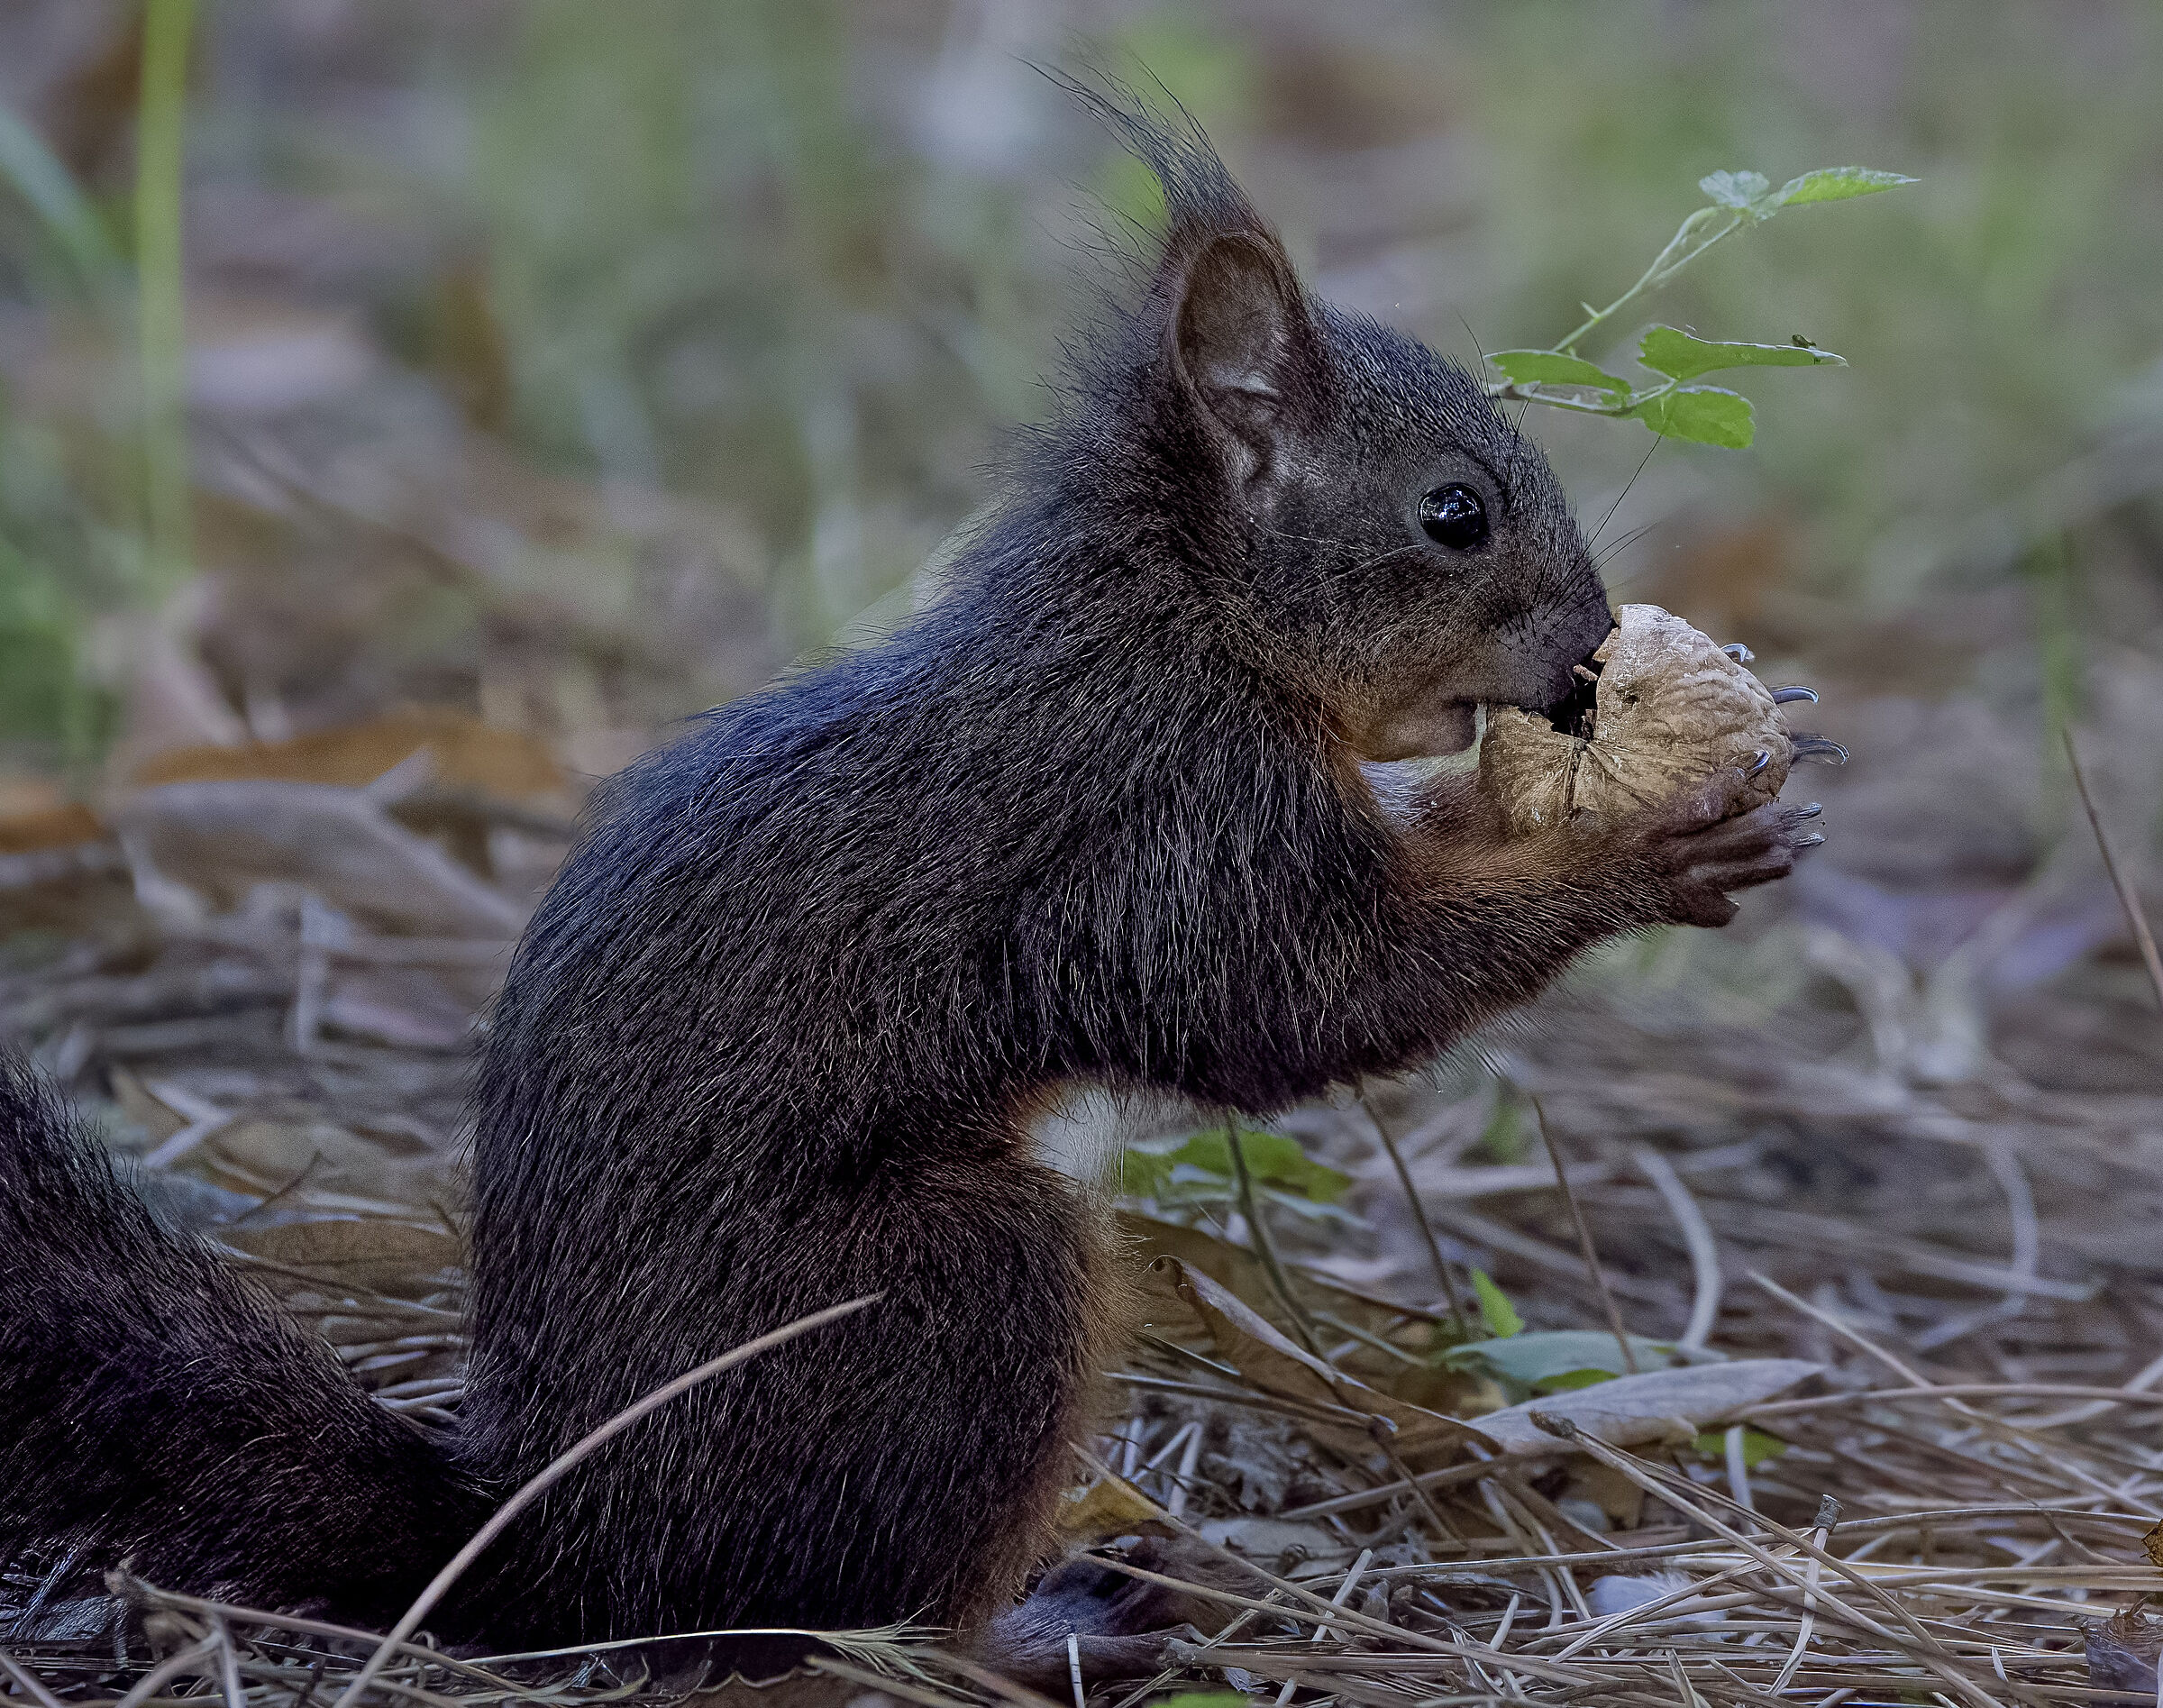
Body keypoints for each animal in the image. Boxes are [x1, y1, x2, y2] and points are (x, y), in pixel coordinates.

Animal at [0, 101, 1815, 1673]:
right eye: (1455, 513)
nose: (1588, 654)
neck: (1182, 617)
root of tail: (549, 1543)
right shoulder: (1153, 821)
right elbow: (1290, 1000)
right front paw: (1640, 848)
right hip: (948, 1293)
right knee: (818, 1620)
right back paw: (1036, 1632)